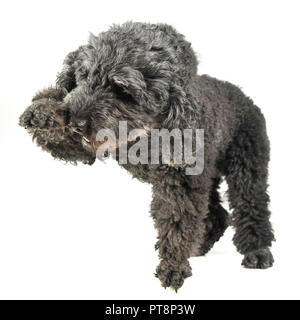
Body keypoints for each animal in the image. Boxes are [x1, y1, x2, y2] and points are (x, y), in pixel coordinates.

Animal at [19, 21, 274, 290]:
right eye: (84, 77)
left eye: (122, 90)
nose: (77, 123)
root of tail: (243, 95)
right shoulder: (89, 147)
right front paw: (42, 110)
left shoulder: (179, 182)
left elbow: (177, 222)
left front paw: (173, 266)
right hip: (207, 175)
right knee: (217, 214)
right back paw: (201, 245)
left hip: (246, 167)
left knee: (251, 206)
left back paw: (257, 251)